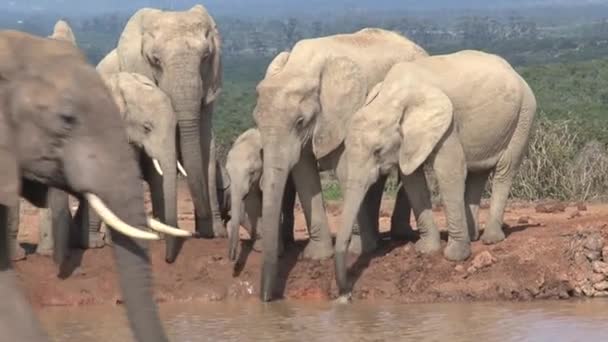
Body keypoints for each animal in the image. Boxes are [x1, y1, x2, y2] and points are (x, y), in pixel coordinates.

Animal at [96, 4, 224, 262]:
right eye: (155, 61)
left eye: (206, 57)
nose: (199, 233)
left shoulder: (209, 87)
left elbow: (205, 144)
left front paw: (214, 234)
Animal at [252, 29, 428, 302]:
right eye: (256, 121)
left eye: (300, 121)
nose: (267, 299)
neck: (301, 67)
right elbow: (303, 170)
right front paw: (317, 256)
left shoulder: (345, 113)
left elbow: (346, 170)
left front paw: (358, 250)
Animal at [334, 49, 540, 298]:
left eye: (377, 151)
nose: (345, 294)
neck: (391, 98)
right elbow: (412, 179)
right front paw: (426, 251)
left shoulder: (447, 124)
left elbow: (449, 170)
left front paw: (454, 257)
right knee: (477, 173)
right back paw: (473, 236)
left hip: (524, 114)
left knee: (504, 170)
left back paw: (491, 240)